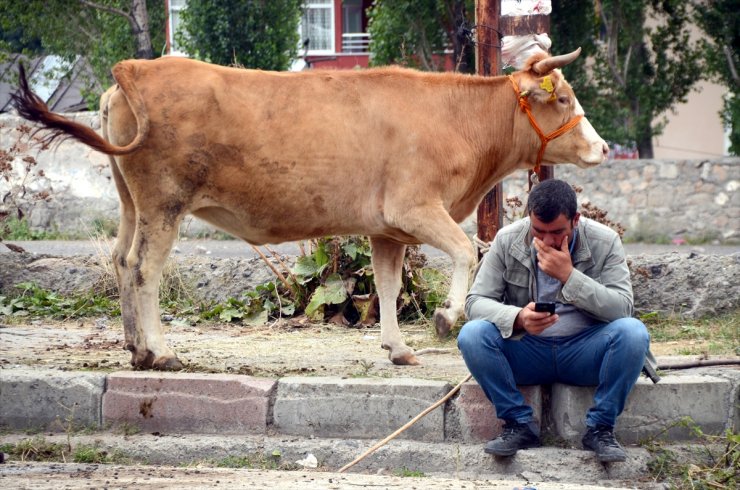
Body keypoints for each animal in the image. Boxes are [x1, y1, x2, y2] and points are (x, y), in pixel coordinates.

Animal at [13, 50, 608, 372]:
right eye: (562, 97)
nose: (602, 148)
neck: (457, 118)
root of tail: (133, 71)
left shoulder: (387, 227)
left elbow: (388, 285)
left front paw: (397, 348)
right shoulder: (415, 206)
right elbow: (466, 250)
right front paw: (445, 318)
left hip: (130, 201)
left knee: (119, 260)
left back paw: (136, 347)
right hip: (164, 202)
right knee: (144, 268)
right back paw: (159, 352)